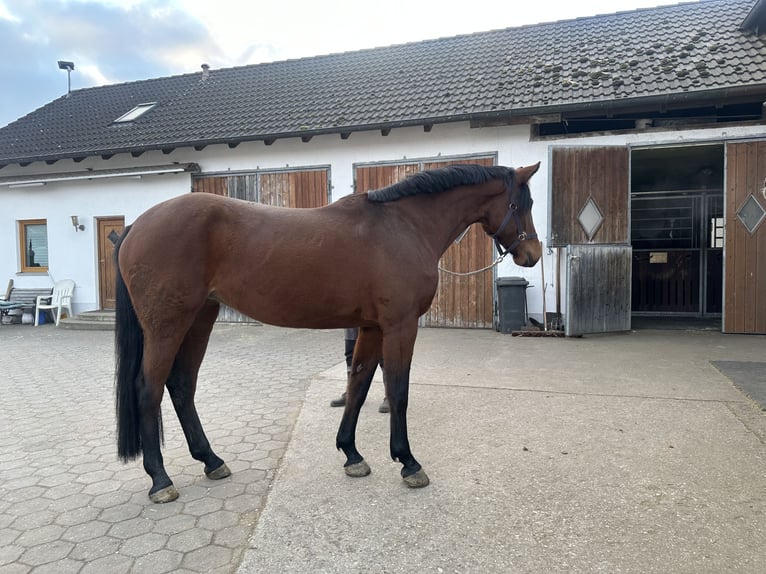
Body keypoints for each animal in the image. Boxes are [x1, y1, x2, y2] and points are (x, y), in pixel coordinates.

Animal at [114, 162, 542, 503]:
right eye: (522, 205)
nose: (532, 254)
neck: (403, 226)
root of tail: (136, 226)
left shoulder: (371, 327)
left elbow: (360, 384)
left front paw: (351, 454)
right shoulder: (399, 325)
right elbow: (397, 392)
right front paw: (407, 462)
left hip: (200, 318)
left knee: (182, 385)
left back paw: (211, 460)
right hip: (167, 325)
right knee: (149, 390)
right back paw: (160, 480)